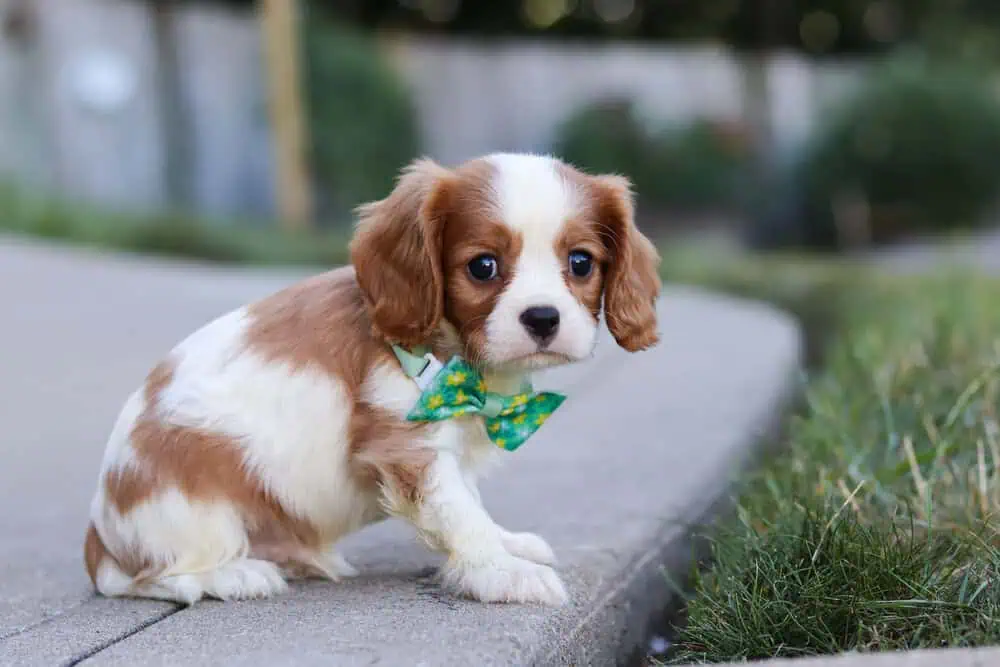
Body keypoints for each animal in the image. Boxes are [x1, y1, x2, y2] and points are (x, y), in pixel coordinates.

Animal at [83, 152, 661, 606]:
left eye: (581, 263)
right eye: (483, 267)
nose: (542, 318)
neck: (455, 359)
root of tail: (99, 540)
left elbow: (471, 501)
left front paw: (507, 544)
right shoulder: (408, 445)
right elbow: (460, 513)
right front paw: (501, 573)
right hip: (194, 506)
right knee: (150, 578)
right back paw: (235, 574)